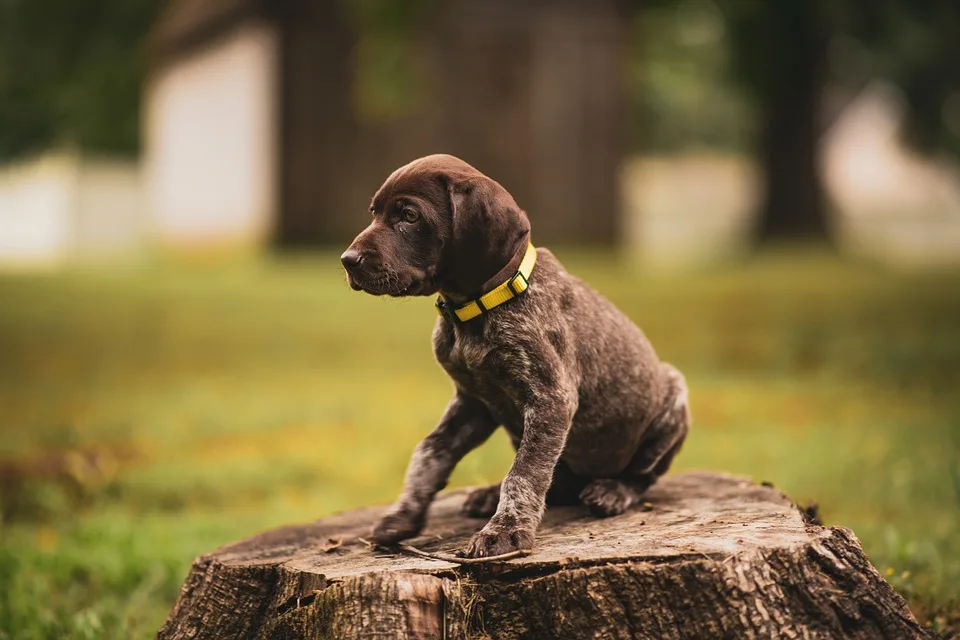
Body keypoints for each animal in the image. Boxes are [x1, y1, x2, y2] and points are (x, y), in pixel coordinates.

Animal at [342, 154, 688, 556]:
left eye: (409, 216)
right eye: (375, 213)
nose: (347, 260)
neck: (477, 310)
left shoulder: (550, 400)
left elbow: (524, 473)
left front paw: (505, 530)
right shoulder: (472, 403)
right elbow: (429, 453)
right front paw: (403, 514)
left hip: (674, 396)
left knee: (640, 476)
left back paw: (612, 491)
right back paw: (489, 495)